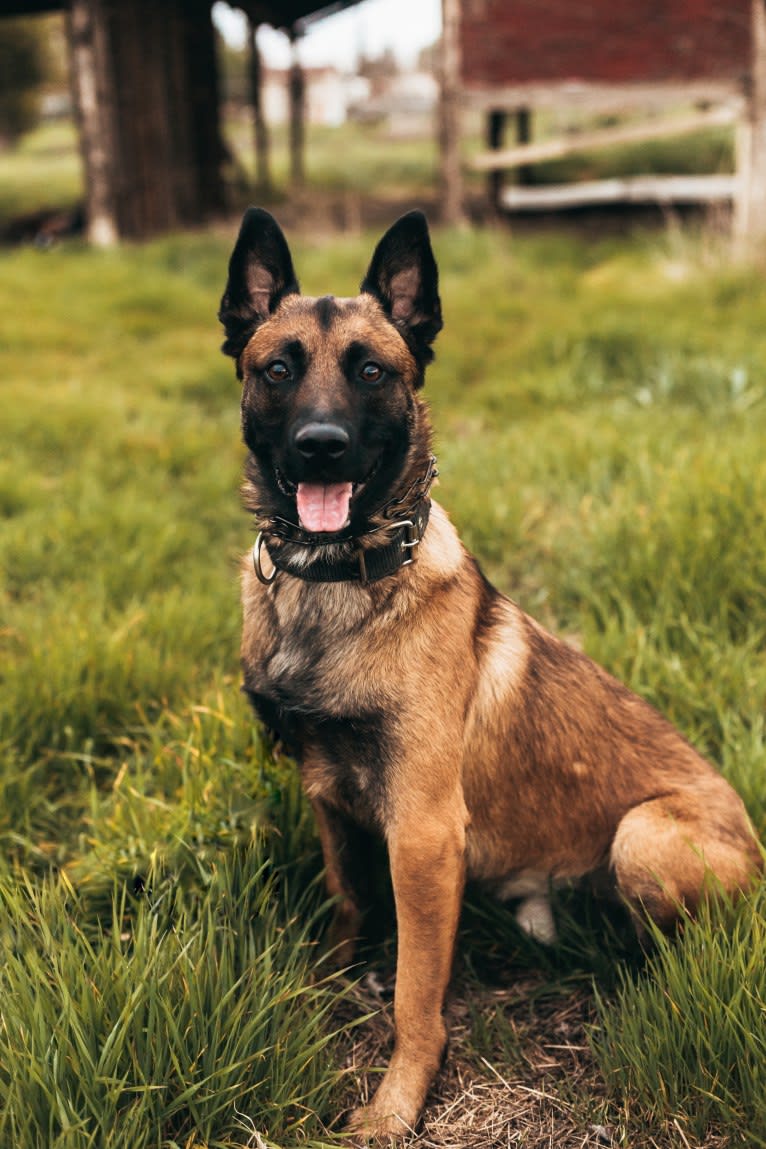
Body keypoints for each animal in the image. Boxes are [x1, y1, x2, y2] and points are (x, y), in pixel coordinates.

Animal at [218, 211, 762, 1144]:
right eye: (277, 368)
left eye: (371, 370)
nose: (320, 447)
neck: (337, 584)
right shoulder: (329, 796)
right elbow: (347, 902)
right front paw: (327, 979)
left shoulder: (423, 835)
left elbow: (413, 995)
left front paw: (396, 1103)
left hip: (642, 836)